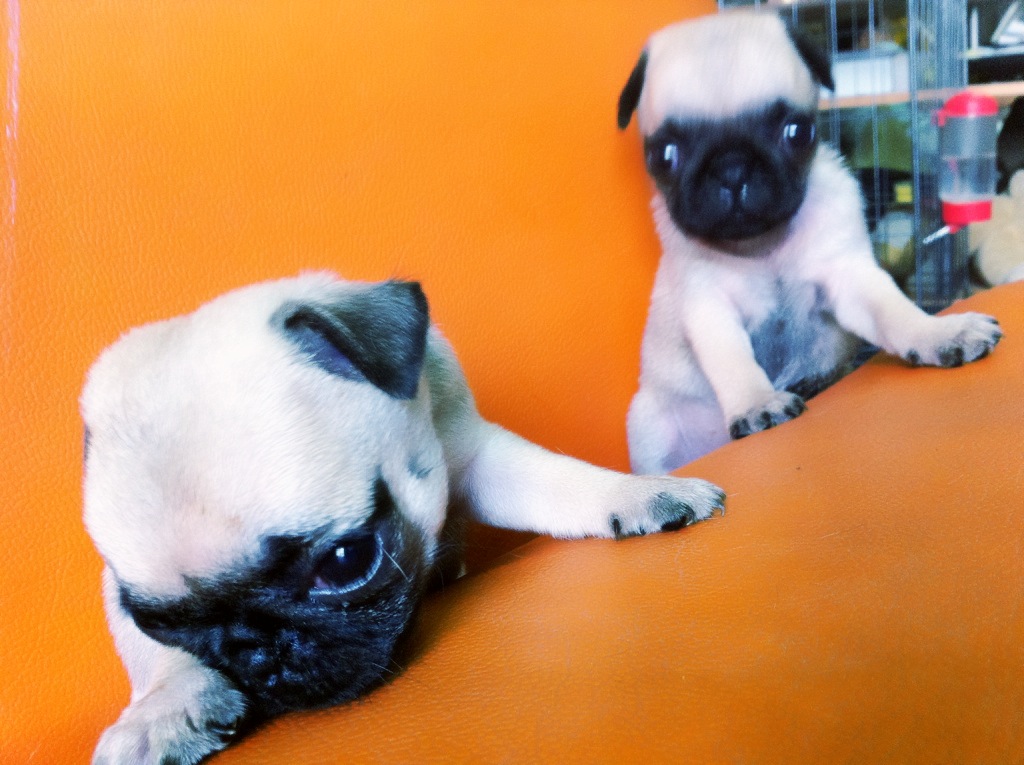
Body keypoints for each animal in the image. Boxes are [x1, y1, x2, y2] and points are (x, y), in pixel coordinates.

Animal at [81, 272, 725, 764]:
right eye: (158, 622)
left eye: (346, 561)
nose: (254, 653)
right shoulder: (120, 589)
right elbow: (151, 658)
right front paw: (165, 706)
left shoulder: (473, 453)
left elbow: (559, 480)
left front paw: (639, 492)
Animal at [617, 11, 1004, 475]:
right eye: (665, 156)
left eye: (797, 132)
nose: (732, 169)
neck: (763, 246)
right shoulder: (709, 308)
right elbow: (733, 361)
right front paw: (757, 402)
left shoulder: (849, 276)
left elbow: (894, 312)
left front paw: (938, 332)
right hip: (649, 428)